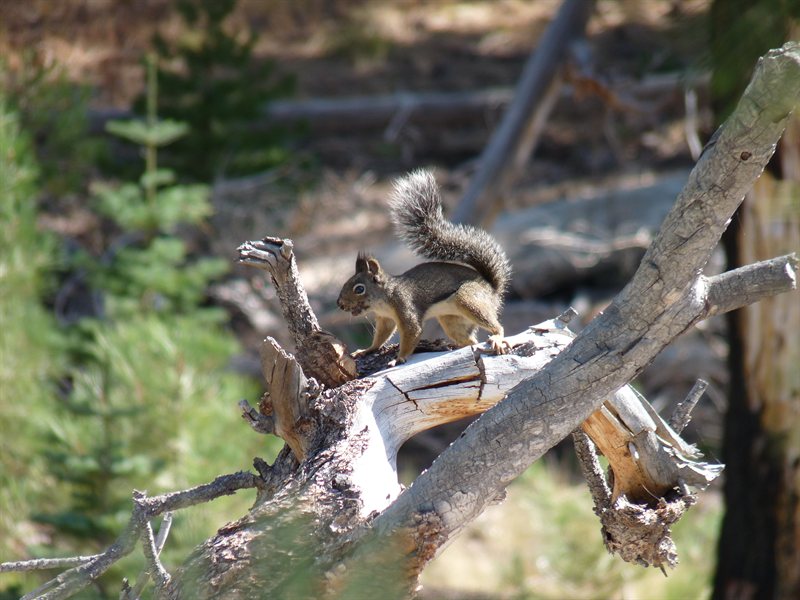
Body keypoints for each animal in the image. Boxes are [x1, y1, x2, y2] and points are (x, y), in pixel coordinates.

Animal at [337, 169, 511, 365]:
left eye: (359, 289)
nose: (339, 304)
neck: (383, 299)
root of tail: (492, 289)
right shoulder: (385, 319)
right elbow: (381, 337)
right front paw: (367, 350)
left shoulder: (404, 306)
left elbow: (412, 332)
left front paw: (399, 358)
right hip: (452, 320)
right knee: (471, 340)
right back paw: (457, 345)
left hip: (469, 299)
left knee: (495, 326)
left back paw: (497, 337)